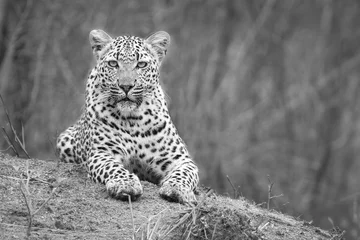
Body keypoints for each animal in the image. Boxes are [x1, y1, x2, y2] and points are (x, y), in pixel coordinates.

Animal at [57, 29, 201, 203]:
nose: (126, 86)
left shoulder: (179, 158)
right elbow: (113, 167)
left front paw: (177, 189)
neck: (133, 120)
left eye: (141, 64)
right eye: (113, 64)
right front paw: (125, 184)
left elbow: (185, 172)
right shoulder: (102, 153)